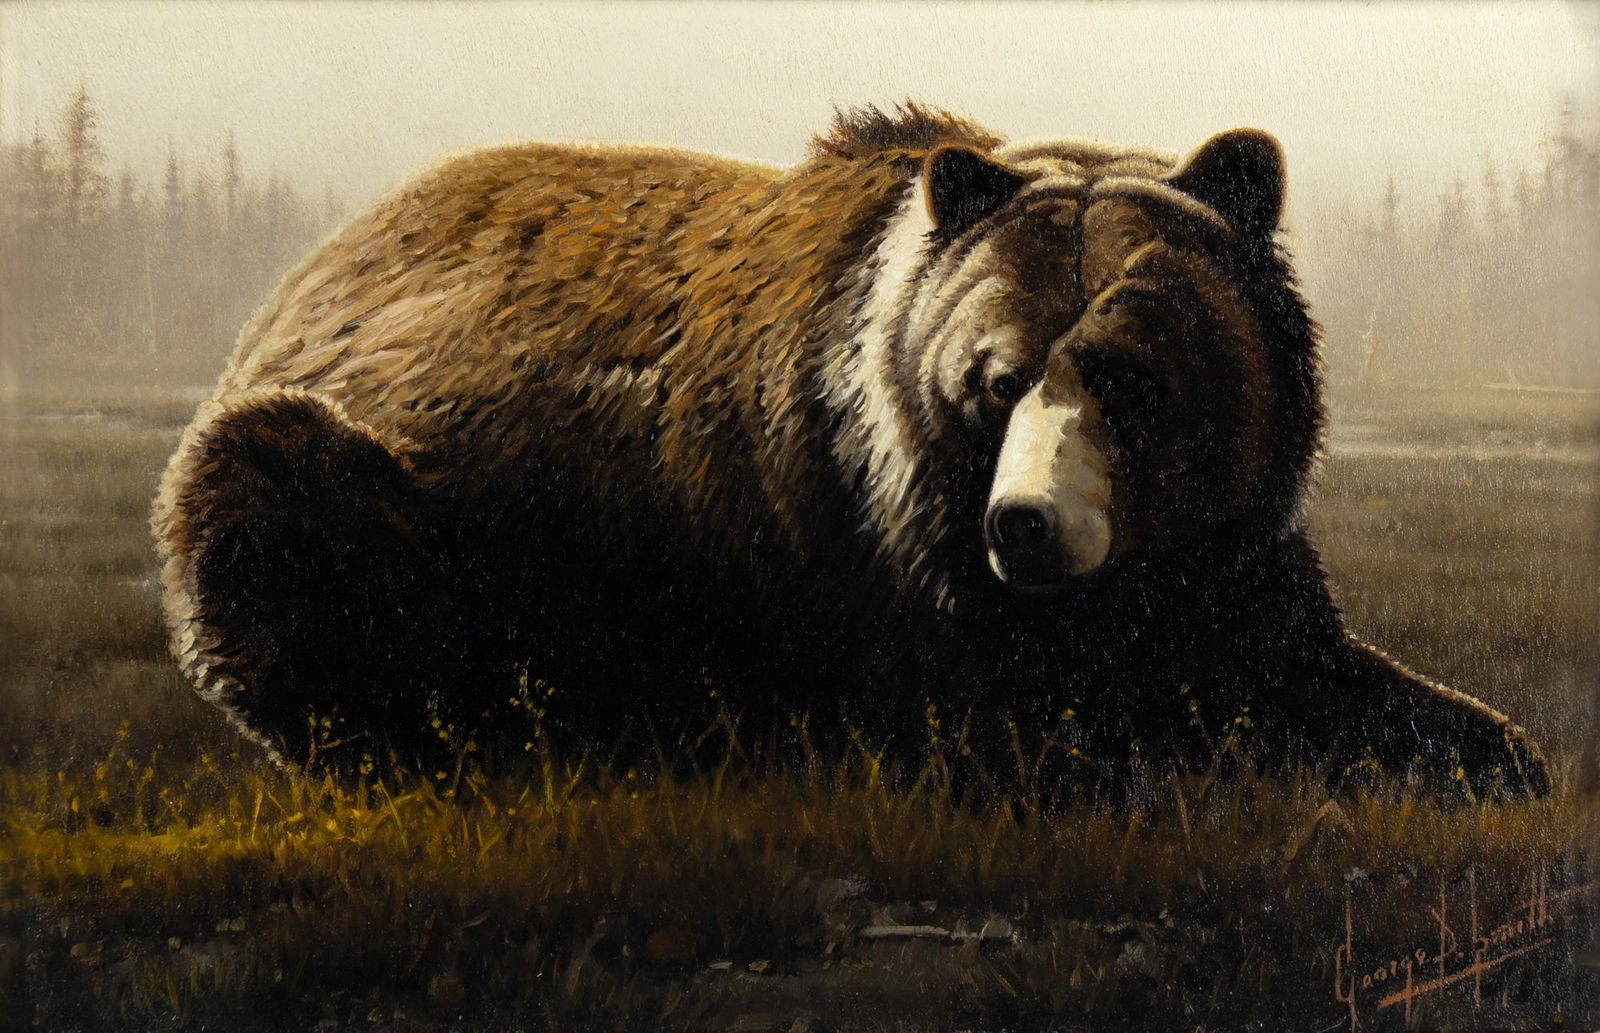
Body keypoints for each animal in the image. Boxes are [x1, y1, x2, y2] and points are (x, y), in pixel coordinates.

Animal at [152, 103, 1548, 798]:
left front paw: (1485, 753)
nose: (1026, 525)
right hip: (386, 495)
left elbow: (1334, 675)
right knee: (269, 516)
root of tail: (312, 268)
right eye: (994, 378)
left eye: (1126, 375)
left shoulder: (1230, 564)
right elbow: (1034, 732)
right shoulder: (866, 562)